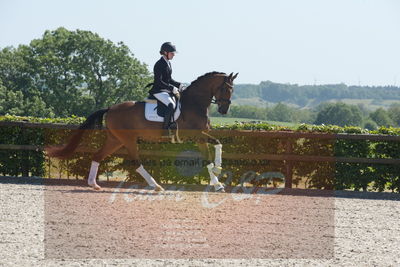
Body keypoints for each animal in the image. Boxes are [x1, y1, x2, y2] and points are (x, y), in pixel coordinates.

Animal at [45, 71, 239, 193]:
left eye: (233, 89)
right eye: (225, 88)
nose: (224, 110)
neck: (194, 103)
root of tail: (111, 108)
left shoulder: (201, 137)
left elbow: (217, 146)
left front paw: (218, 174)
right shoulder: (196, 135)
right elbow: (210, 155)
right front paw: (218, 178)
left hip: (115, 140)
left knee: (98, 156)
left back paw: (94, 184)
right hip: (128, 140)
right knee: (136, 162)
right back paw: (155, 186)